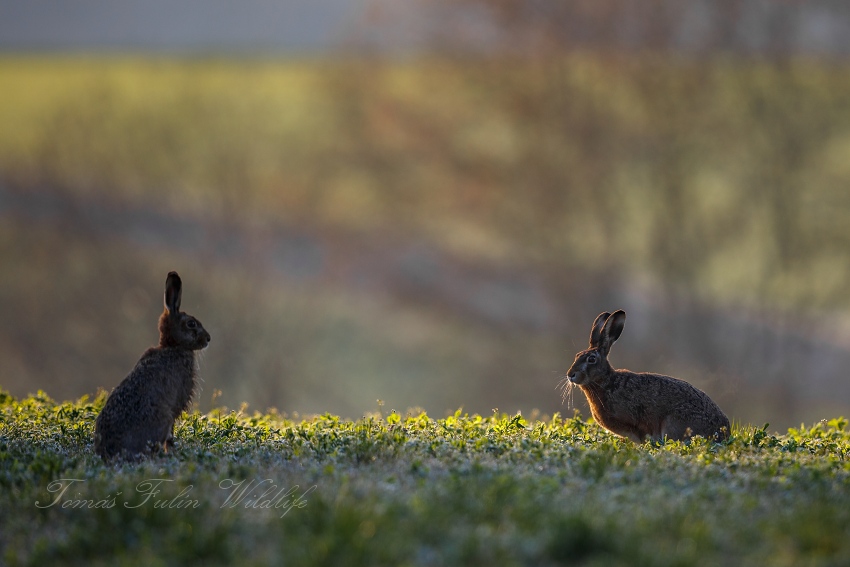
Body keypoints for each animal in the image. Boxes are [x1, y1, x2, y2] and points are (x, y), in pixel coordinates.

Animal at [94, 271, 210, 461]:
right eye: (191, 323)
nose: (208, 338)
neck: (173, 345)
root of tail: (110, 451)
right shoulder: (176, 404)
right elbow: (171, 435)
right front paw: (173, 452)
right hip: (163, 417)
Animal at [563, 310, 729, 443]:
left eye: (591, 359)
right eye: (577, 355)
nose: (570, 375)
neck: (606, 382)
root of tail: (723, 432)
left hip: (674, 423)